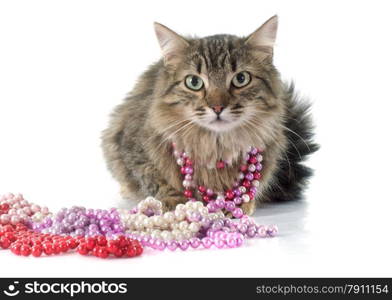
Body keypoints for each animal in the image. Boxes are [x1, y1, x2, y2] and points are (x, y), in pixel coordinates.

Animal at [101, 16, 318, 214]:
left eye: (241, 79)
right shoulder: (131, 149)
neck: (216, 146)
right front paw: (174, 201)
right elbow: (154, 179)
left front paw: (241, 204)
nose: (217, 107)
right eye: (194, 82)